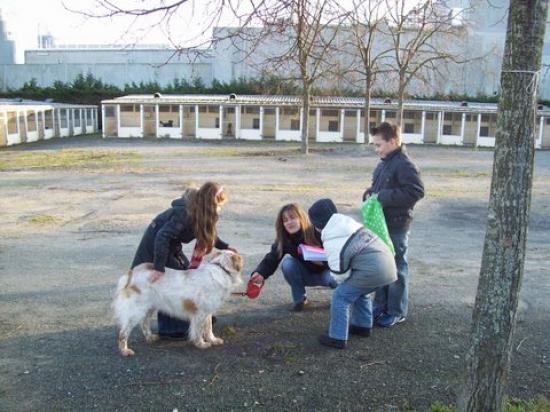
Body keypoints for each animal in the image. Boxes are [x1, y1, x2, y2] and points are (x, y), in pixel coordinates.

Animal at [114, 249, 244, 356]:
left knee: (144, 323)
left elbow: (208, 329)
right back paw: (125, 351)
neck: (221, 269)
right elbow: (199, 330)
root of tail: (133, 272)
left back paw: (150, 337)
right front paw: (201, 344)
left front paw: (213, 340)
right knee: (123, 333)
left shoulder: (208, 312)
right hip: (136, 311)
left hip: (149, 308)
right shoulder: (200, 313)